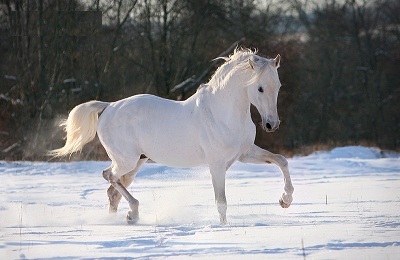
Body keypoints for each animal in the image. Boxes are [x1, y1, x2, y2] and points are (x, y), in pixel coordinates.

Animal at [50, 47, 294, 224]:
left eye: (278, 86)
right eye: (260, 88)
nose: (272, 124)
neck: (221, 113)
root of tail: (108, 107)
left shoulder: (244, 154)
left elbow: (281, 160)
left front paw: (285, 200)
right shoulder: (216, 164)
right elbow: (221, 202)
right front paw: (224, 229)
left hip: (136, 162)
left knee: (113, 190)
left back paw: (122, 220)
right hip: (126, 160)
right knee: (109, 176)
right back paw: (134, 212)